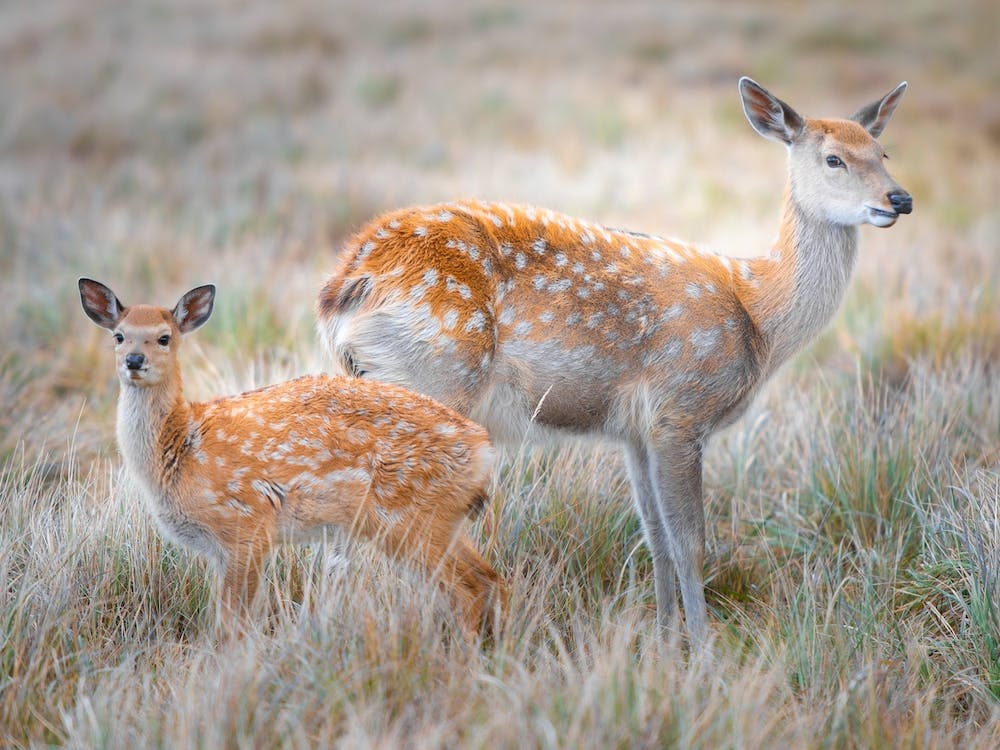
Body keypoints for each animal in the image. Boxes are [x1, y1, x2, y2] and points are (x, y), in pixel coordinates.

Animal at [79, 278, 506, 638]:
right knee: (488, 577)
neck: (182, 446)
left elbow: (232, 624)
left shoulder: (247, 526)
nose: (134, 360)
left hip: (411, 517)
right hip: (439, 520)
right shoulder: (222, 550)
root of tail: (482, 450)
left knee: (468, 586)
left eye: (164, 338)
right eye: (119, 335)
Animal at [315, 77, 912, 649]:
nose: (900, 198)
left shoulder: (634, 431)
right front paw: (704, 654)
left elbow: (657, 540)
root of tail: (349, 284)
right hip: (435, 378)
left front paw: (665, 644)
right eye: (833, 158)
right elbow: (690, 543)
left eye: (882, 151)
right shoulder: (680, 409)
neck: (758, 313)